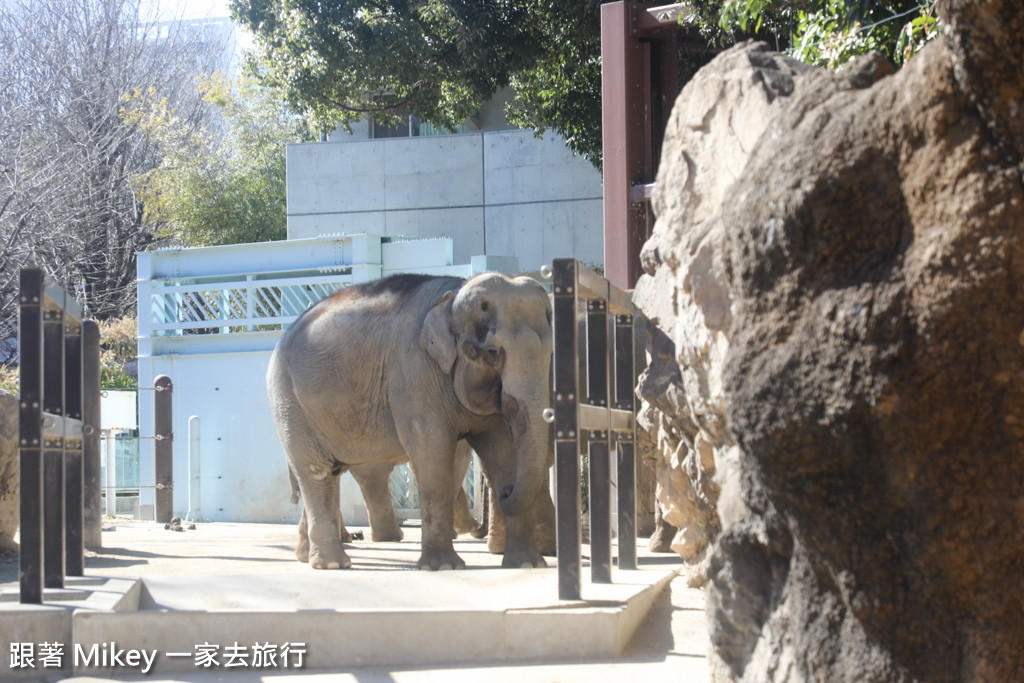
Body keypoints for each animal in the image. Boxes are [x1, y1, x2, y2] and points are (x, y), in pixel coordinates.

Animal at [264, 272, 552, 573]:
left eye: (551, 351)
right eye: (493, 352)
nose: (506, 493)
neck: (453, 295)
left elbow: (503, 451)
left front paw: (527, 564)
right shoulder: (415, 372)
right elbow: (433, 451)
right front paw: (443, 567)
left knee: (330, 473)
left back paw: (307, 556)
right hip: (289, 402)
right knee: (316, 471)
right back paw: (332, 564)